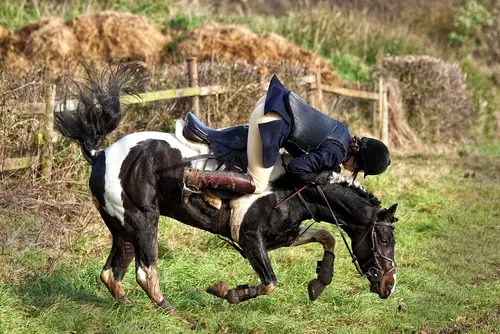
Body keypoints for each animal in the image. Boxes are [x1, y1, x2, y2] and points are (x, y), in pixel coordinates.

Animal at [54, 62, 398, 314]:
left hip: (121, 226)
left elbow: (327, 237)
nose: (390, 285)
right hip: (142, 219)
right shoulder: (251, 238)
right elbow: (270, 282)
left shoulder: (283, 236)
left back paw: (131, 307)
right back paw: (173, 312)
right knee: (144, 271)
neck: (297, 190)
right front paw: (225, 291)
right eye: (384, 238)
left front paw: (319, 281)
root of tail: (101, 154)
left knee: (111, 274)